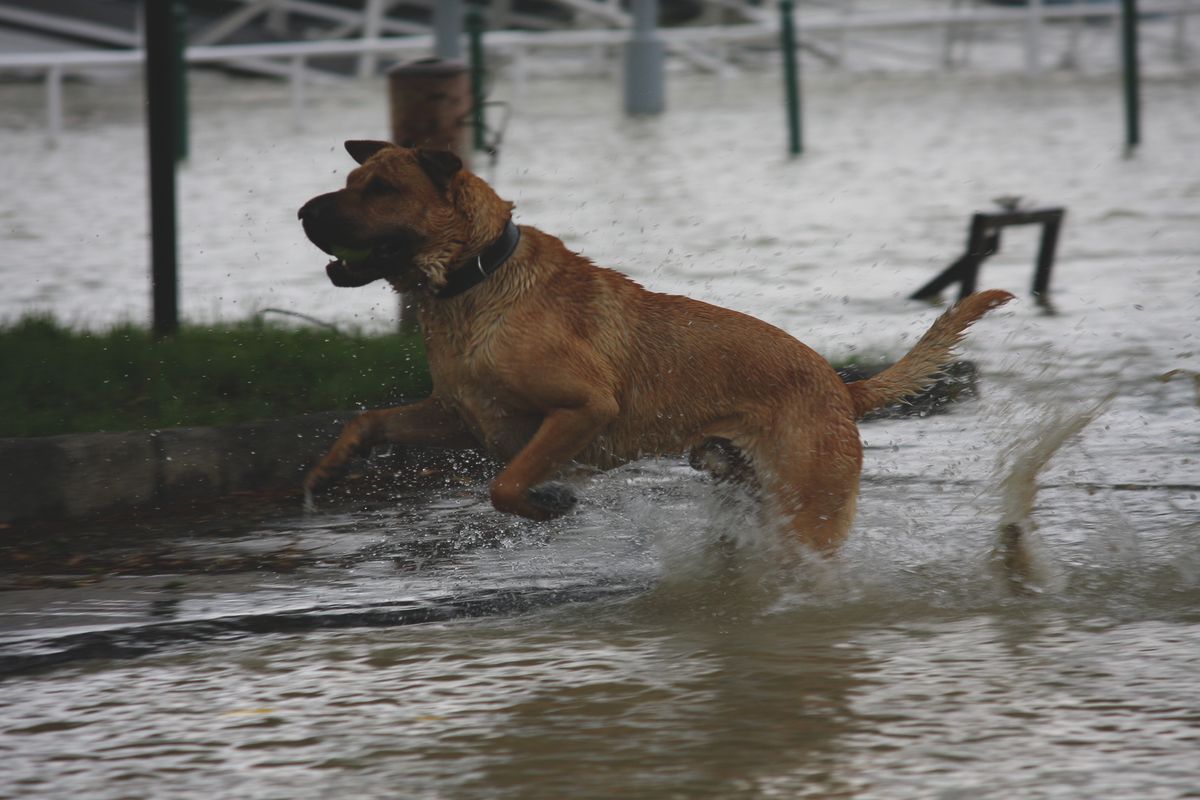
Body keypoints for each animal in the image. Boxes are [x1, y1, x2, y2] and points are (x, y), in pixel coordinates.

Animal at [300, 140, 1012, 551]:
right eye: (352, 181)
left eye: (382, 190)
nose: (304, 211)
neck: (476, 281)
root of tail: (841, 385)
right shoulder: (458, 412)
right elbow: (369, 420)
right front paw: (328, 471)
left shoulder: (584, 408)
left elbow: (506, 484)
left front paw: (550, 503)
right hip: (745, 484)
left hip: (810, 500)